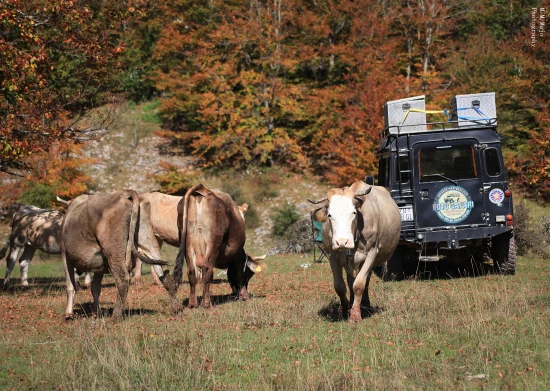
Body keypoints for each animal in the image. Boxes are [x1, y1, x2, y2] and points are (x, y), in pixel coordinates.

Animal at [310, 182, 402, 324]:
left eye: (353, 212)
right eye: (329, 214)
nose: (342, 242)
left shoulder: (371, 253)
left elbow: (359, 285)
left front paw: (355, 315)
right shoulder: (332, 255)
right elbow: (340, 286)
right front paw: (345, 310)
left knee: (365, 280)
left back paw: (364, 304)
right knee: (350, 280)